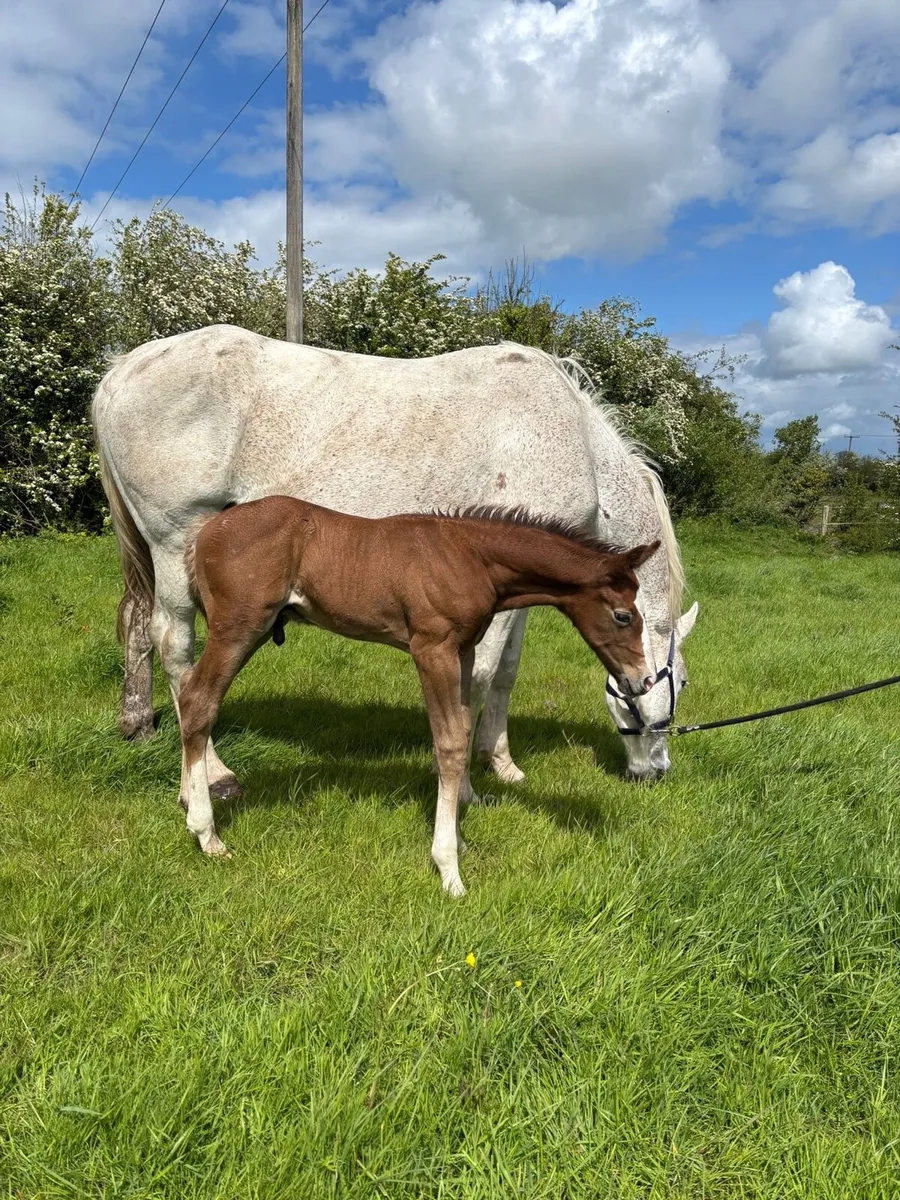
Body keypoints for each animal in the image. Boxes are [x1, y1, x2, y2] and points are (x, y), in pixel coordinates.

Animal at [92, 326, 697, 791]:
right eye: (685, 684)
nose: (656, 772)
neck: (577, 442)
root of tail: (120, 373)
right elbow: (479, 678)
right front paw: (466, 777)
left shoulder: (526, 586)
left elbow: (505, 673)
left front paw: (502, 763)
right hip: (176, 543)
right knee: (176, 648)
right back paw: (213, 772)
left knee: (139, 627)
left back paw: (138, 724)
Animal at [182, 496, 660, 895]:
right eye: (623, 616)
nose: (643, 680)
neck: (471, 556)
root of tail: (206, 530)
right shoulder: (432, 649)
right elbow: (448, 744)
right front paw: (449, 867)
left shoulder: (464, 651)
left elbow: (462, 730)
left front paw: (460, 837)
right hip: (238, 629)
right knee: (197, 701)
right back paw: (206, 832)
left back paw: (189, 803)